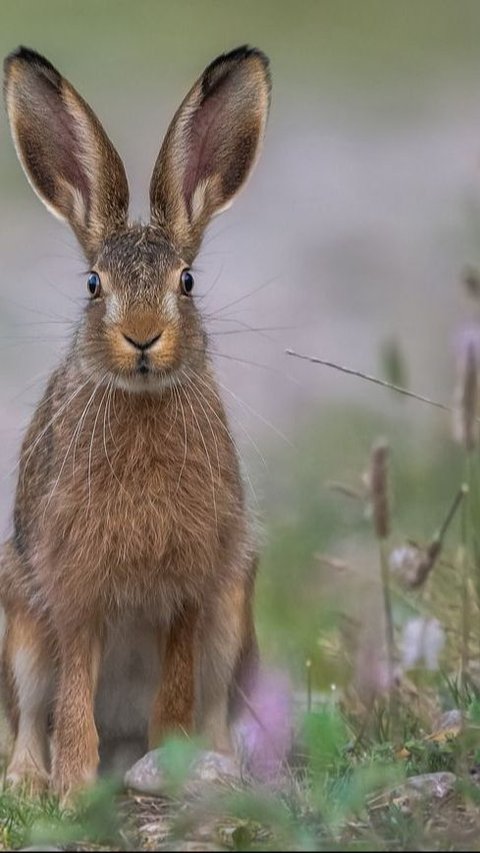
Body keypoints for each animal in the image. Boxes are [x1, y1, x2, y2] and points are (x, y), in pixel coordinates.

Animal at [0, 43, 270, 796]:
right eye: (95, 285)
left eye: (188, 283)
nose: (143, 337)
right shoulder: (73, 591)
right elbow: (71, 695)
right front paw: (70, 788)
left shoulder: (192, 592)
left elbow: (176, 690)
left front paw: (171, 762)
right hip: (18, 620)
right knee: (27, 712)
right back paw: (29, 780)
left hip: (233, 615)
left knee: (214, 704)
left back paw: (218, 765)